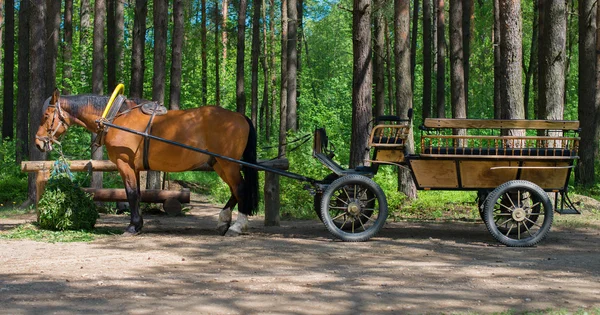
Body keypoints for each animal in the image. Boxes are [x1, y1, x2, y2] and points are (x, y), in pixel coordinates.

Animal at [34, 90, 256, 236]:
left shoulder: (124, 164)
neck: (116, 118)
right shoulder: (135, 167)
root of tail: (240, 116)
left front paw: (133, 226)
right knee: (235, 190)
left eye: (45, 116)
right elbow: (138, 194)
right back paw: (223, 221)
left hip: (228, 164)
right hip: (219, 164)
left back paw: (237, 226)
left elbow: (131, 194)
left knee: (240, 188)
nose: (38, 142)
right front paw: (138, 224)